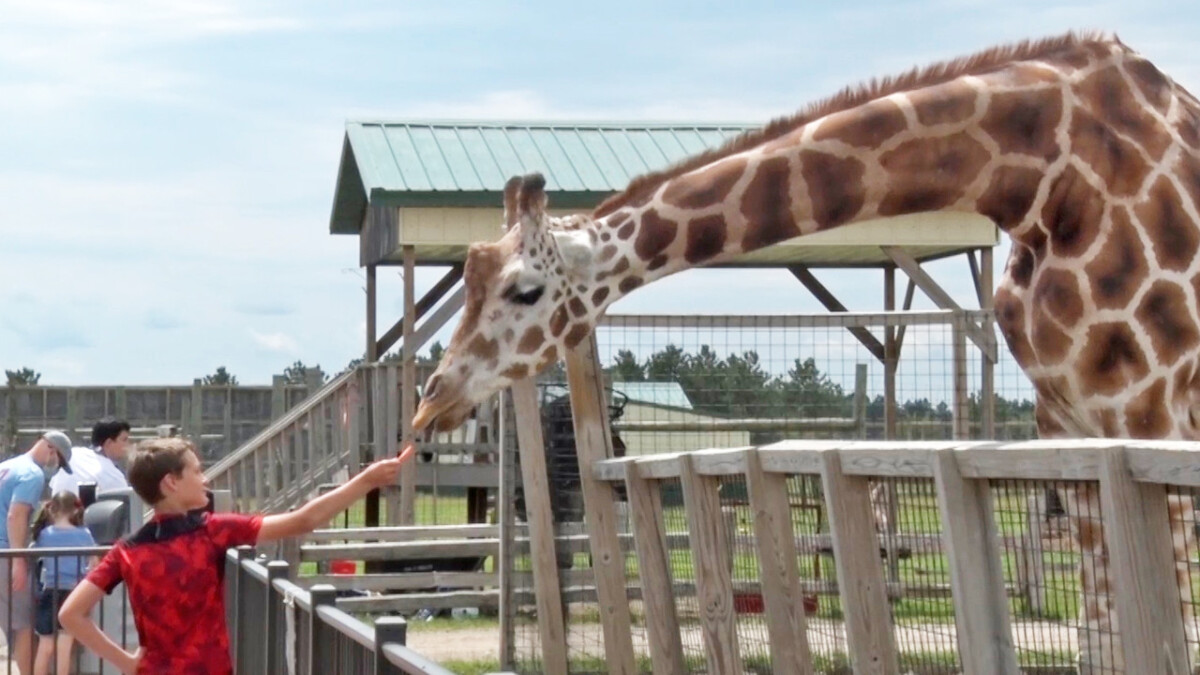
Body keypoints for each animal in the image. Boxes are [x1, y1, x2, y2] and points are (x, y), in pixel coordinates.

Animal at [410, 30, 1200, 667]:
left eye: (524, 290)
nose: (430, 403)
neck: (1040, 177)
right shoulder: (1071, 430)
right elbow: (1104, 641)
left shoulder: (1152, 420)